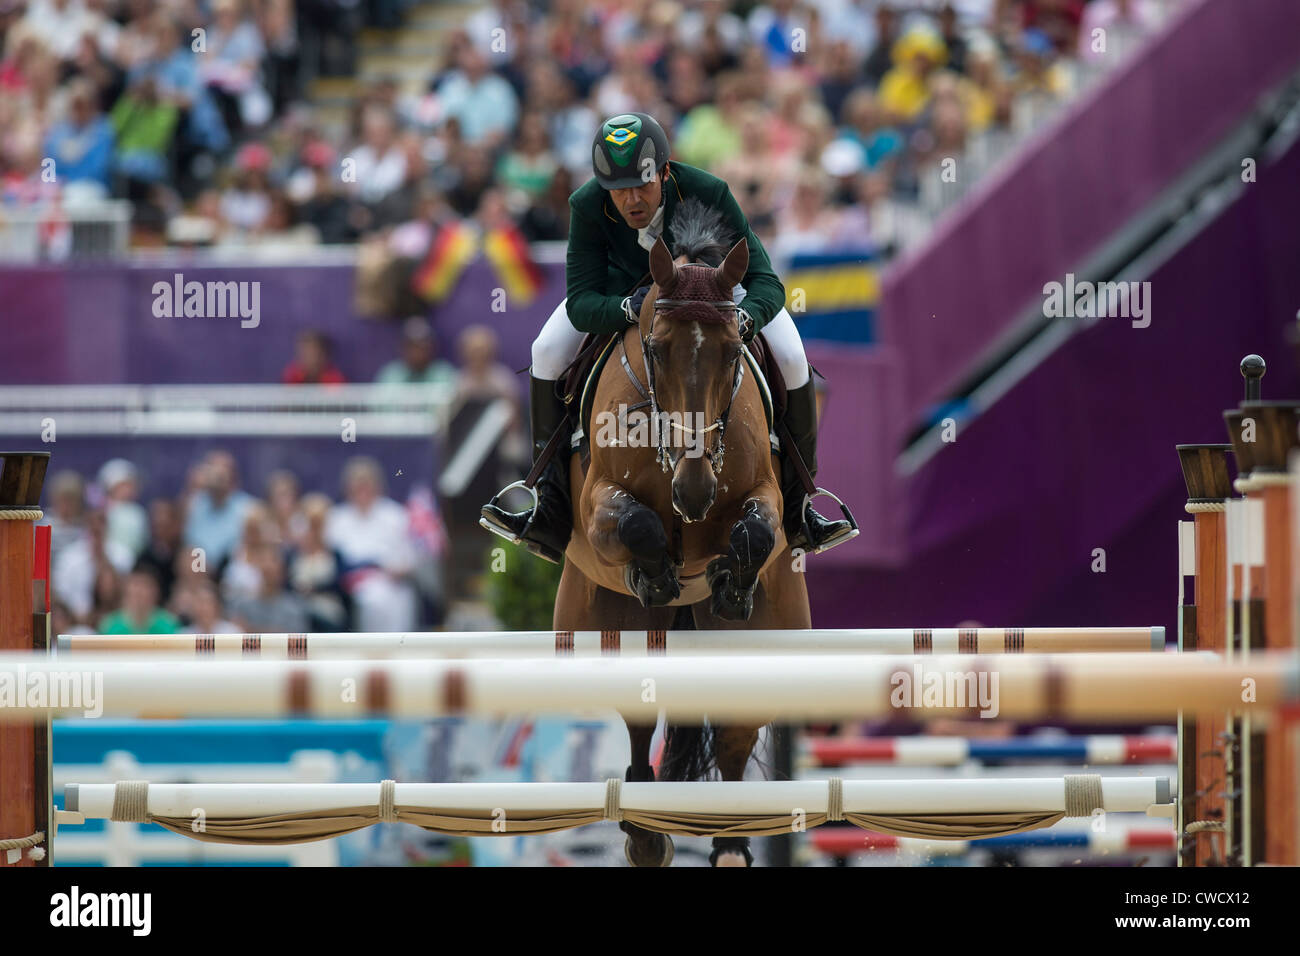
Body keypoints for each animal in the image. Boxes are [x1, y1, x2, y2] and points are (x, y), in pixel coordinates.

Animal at [553, 201, 806, 868]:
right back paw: (645, 832)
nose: (693, 494)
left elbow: (754, 532)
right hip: (600, 620)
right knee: (639, 723)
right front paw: (658, 573)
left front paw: (729, 583)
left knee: (736, 735)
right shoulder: (598, 505)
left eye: (734, 350)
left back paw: (728, 844)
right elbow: (636, 523)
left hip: (767, 642)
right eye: (658, 350)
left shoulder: (764, 497)